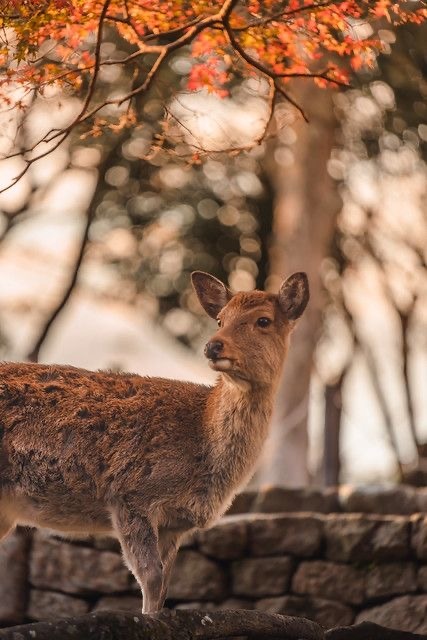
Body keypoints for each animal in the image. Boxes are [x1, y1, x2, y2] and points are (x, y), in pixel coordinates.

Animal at [0, 268, 308, 608]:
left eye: (264, 320)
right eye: (220, 320)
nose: (213, 346)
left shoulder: (175, 524)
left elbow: (166, 586)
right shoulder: (130, 494)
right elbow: (151, 578)